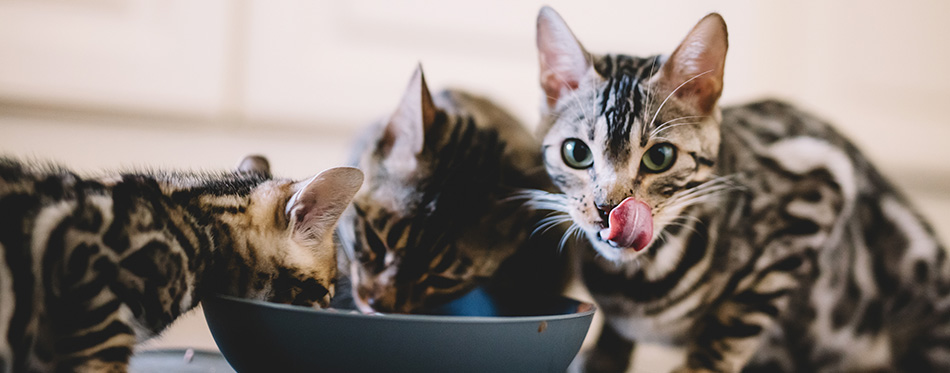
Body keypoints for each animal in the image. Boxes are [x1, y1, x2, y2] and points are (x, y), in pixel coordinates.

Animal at [532, 6, 950, 372]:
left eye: (660, 157)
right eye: (576, 152)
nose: (608, 208)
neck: (635, 285)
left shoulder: (821, 183)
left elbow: (737, 318)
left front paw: (700, 367)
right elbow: (614, 336)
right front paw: (602, 359)